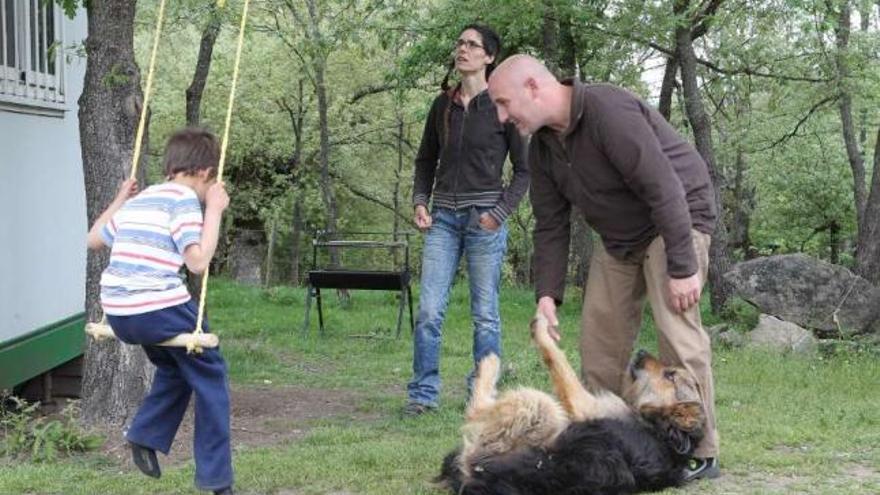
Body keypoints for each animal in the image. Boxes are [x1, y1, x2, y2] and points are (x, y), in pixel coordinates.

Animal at [440, 316, 708, 494]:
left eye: (670, 375)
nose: (641, 351)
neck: (663, 429)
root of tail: (477, 476)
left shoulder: (581, 404)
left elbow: (557, 359)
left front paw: (542, 330)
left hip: (539, 409)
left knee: (476, 408)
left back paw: (490, 362)